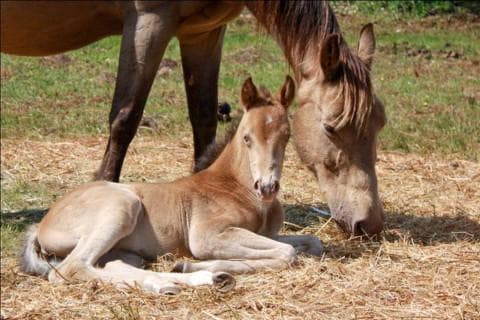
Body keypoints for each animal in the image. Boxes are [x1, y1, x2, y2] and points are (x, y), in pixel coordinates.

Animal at [21, 76, 322, 294]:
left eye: (286, 136)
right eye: (247, 137)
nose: (267, 187)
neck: (236, 187)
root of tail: (42, 223)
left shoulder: (268, 234)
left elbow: (312, 243)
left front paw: (194, 265)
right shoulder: (207, 236)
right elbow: (288, 253)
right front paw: (196, 263)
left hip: (122, 250)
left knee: (110, 265)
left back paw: (199, 279)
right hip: (121, 207)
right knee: (71, 269)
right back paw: (182, 279)